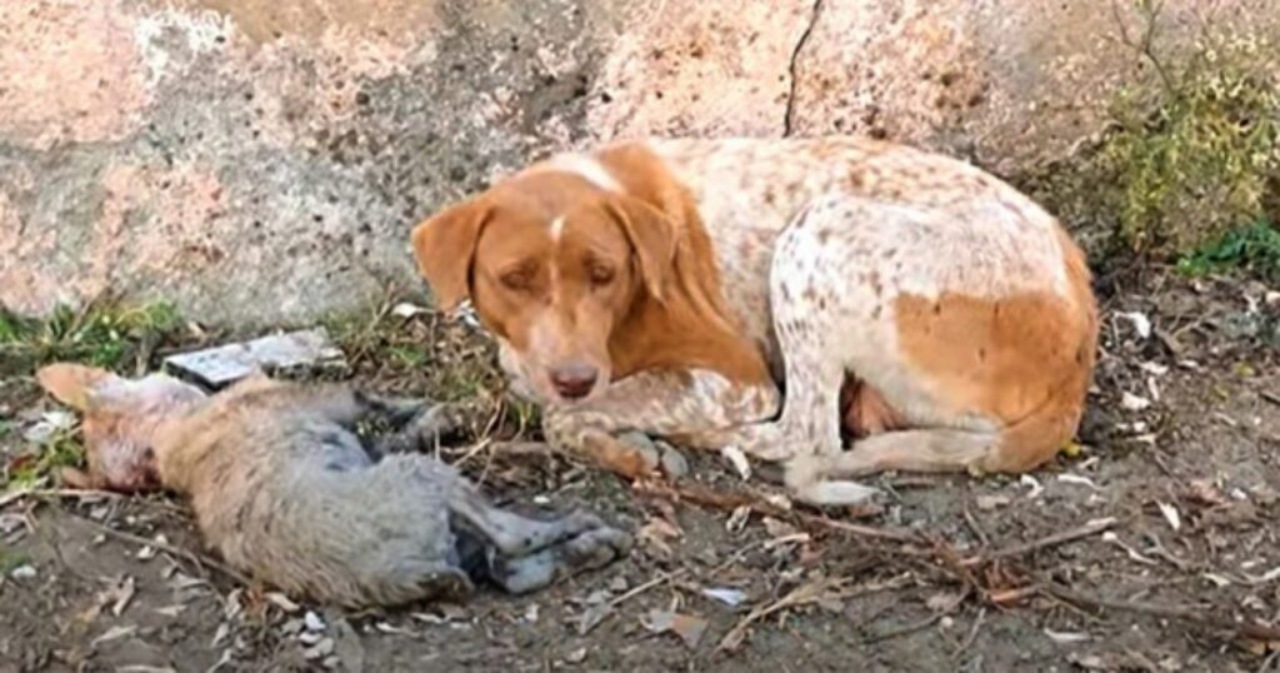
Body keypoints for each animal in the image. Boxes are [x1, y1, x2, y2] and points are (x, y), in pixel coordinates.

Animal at [30, 365, 629, 609]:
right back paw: (584, 528)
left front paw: (437, 417)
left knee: (514, 572)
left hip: (454, 538)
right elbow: (367, 397)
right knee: (512, 542)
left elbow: (392, 427)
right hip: (424, 482)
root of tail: (400, 576)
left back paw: (592, 549)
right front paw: (445, 410)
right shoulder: (321, 401)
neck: (171, 439)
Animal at [412, 136, 1100, 506]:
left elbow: (566, 414)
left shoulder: (733, 379)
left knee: (807, 433)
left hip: (815, 237)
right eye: (514, 279)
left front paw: (622, 442)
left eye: (603, 273)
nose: (575, 376)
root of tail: (1078, 357)